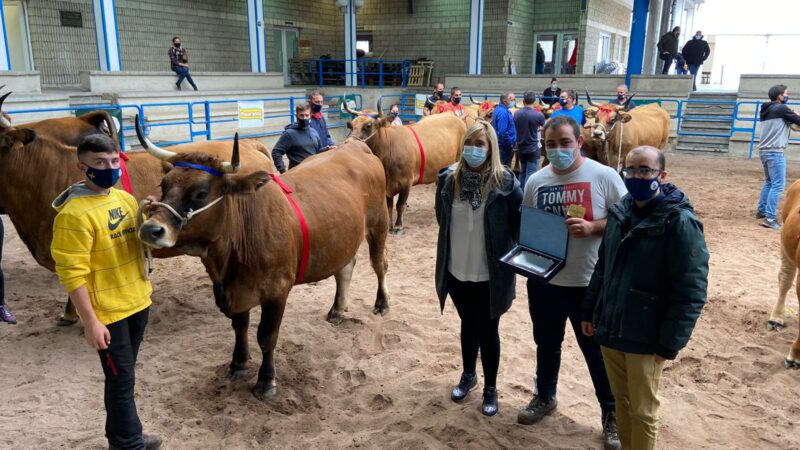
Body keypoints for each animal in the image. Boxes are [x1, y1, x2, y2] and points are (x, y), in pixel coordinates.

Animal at [136, 118, 392, 400]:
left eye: (201, 192)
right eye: (164, 185)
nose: (150, 229)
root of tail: (355, 147)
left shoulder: (277, 290)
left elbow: (266, 336)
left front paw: (266, 380)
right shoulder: (236, 290)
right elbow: (240, 326)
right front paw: (238, 363)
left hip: (379, 223)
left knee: (379, 264)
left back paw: (382, 303)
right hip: (343, 238)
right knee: (345, 268)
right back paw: (337, 309)